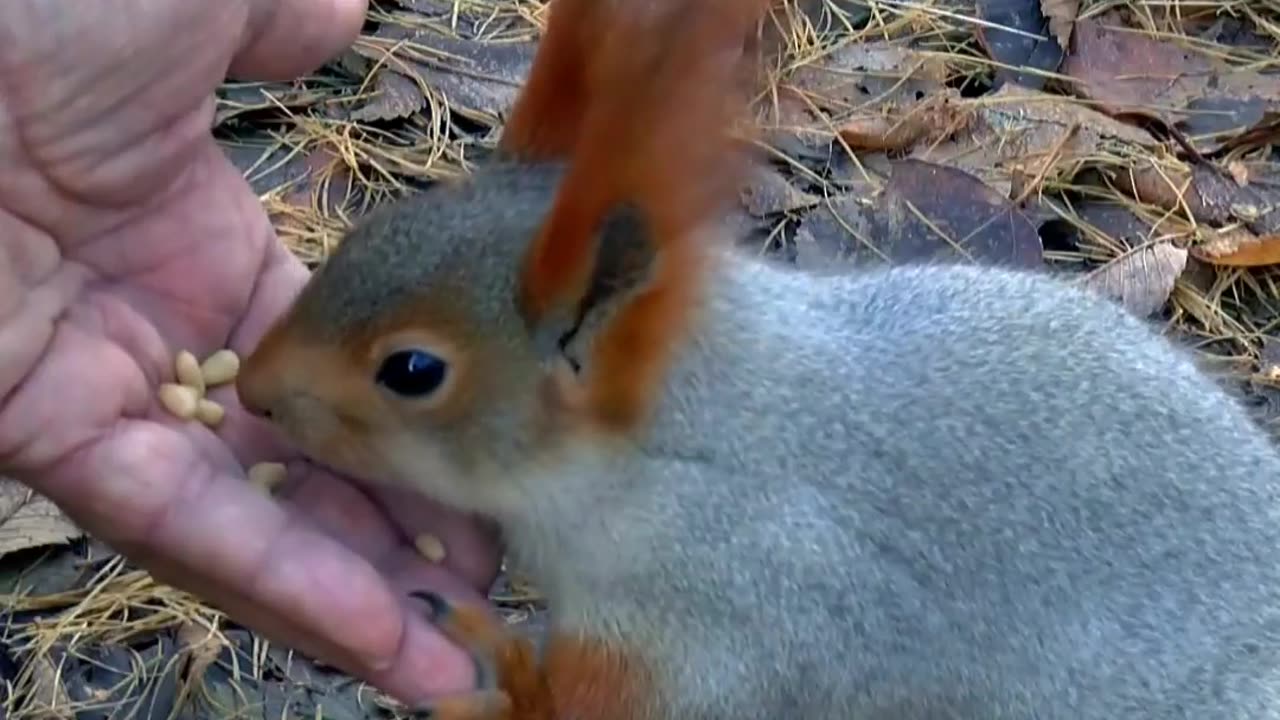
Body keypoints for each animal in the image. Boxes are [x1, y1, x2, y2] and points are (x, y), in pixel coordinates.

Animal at [232, 0, 1280, 712]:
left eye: (412, 372)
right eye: (368, 232)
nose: (252, 390)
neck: (677, 443)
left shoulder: (730, 610)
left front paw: (496, 670)